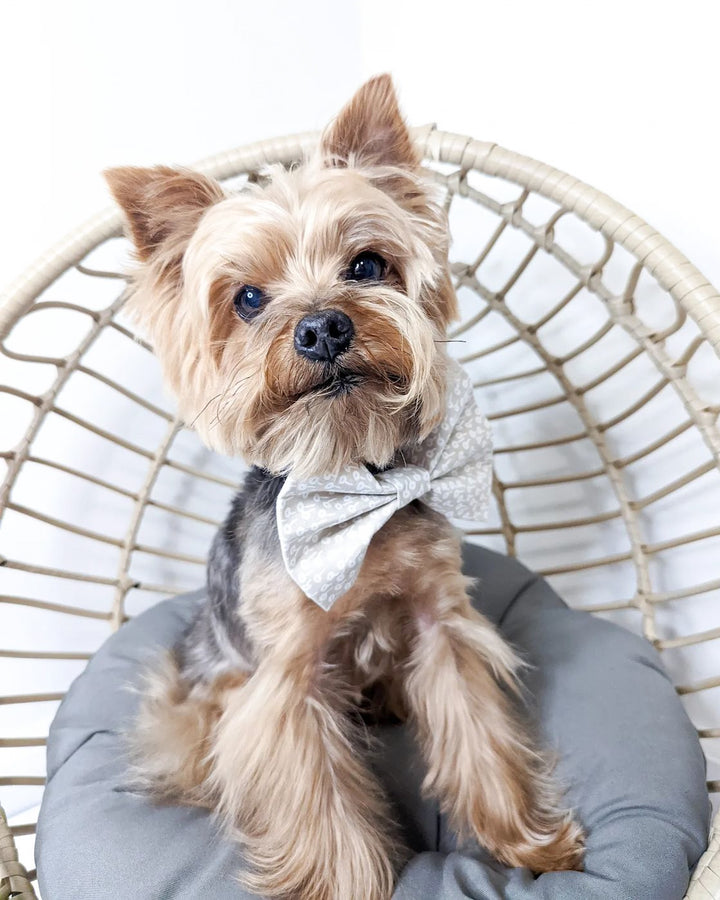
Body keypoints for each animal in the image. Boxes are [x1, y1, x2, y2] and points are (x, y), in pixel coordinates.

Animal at [104, 74, 584, 896]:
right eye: (248, 299)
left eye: (365, 265)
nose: (324, 327)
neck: (355, 479)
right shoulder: (285, 683)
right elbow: (321, 807)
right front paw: (347, 882)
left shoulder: (439, 625)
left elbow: (479, 737)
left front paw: (531, 843)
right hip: (204, 694)